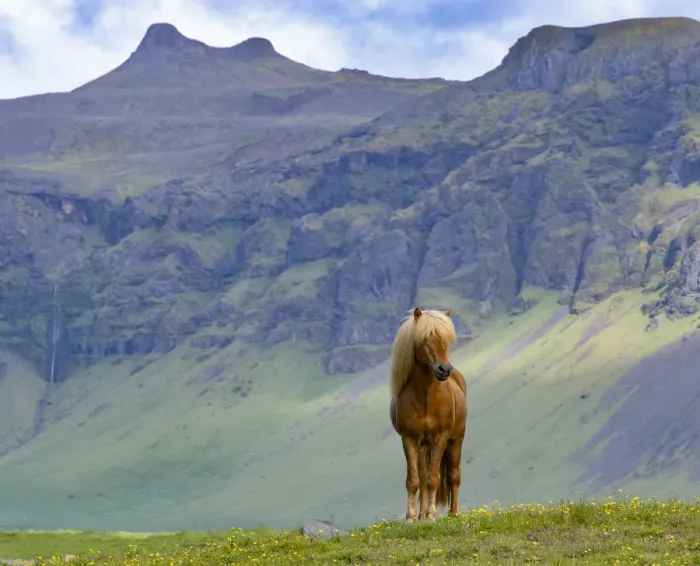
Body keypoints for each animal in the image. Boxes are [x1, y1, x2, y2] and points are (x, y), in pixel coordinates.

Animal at [389, 307, 467, 522]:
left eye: (446, 339)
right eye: (424, 339)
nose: (444, 369)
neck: (425, 397)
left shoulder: (441, 438)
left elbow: (434, 478)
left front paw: (432, 514)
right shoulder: (409, 439)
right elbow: (414, 480)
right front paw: (411, 517)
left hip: (456, 440)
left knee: (453, 476)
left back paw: (453, 513)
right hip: (423, 446)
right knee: (423, 478)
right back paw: (422, 515)